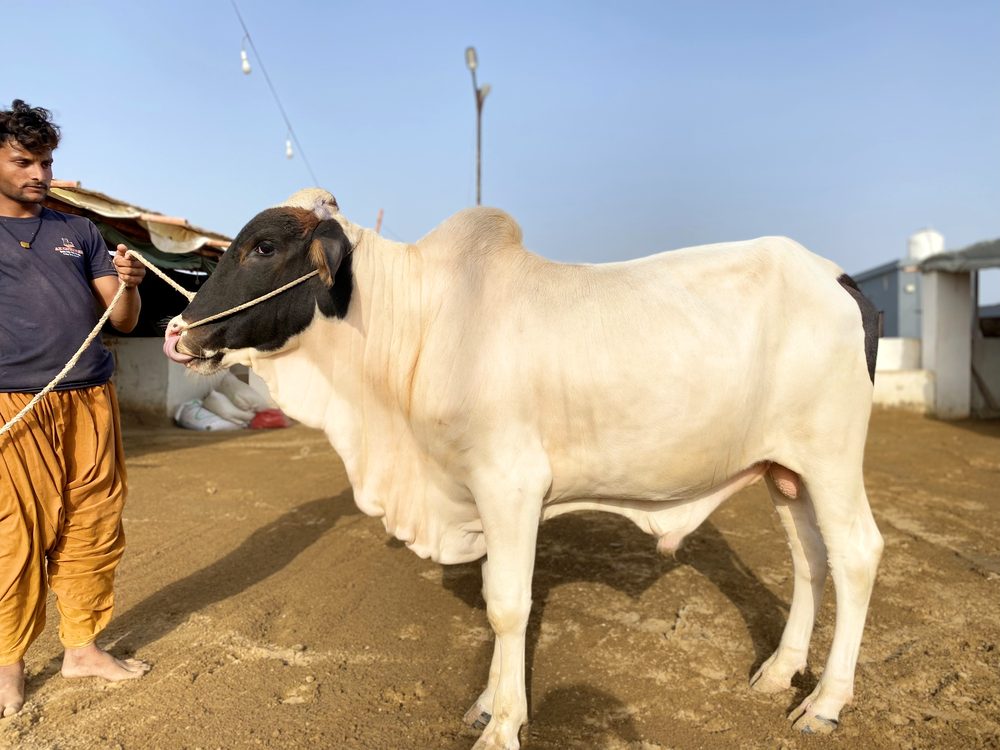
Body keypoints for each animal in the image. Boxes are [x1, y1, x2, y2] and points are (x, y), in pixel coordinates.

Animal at [164, 188, 883, 749]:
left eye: (262, 247)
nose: (177, 332)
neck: (419, 328)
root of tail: (838, 278)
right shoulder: (480, 494)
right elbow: (494, 600)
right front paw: (488, 705)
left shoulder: (509, 486)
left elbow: (507, 606)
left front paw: (504, 724)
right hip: (785, 472)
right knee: (810, 561)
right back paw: (780, 671)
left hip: (832, 458)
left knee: (855, 555)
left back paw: (825, 702)